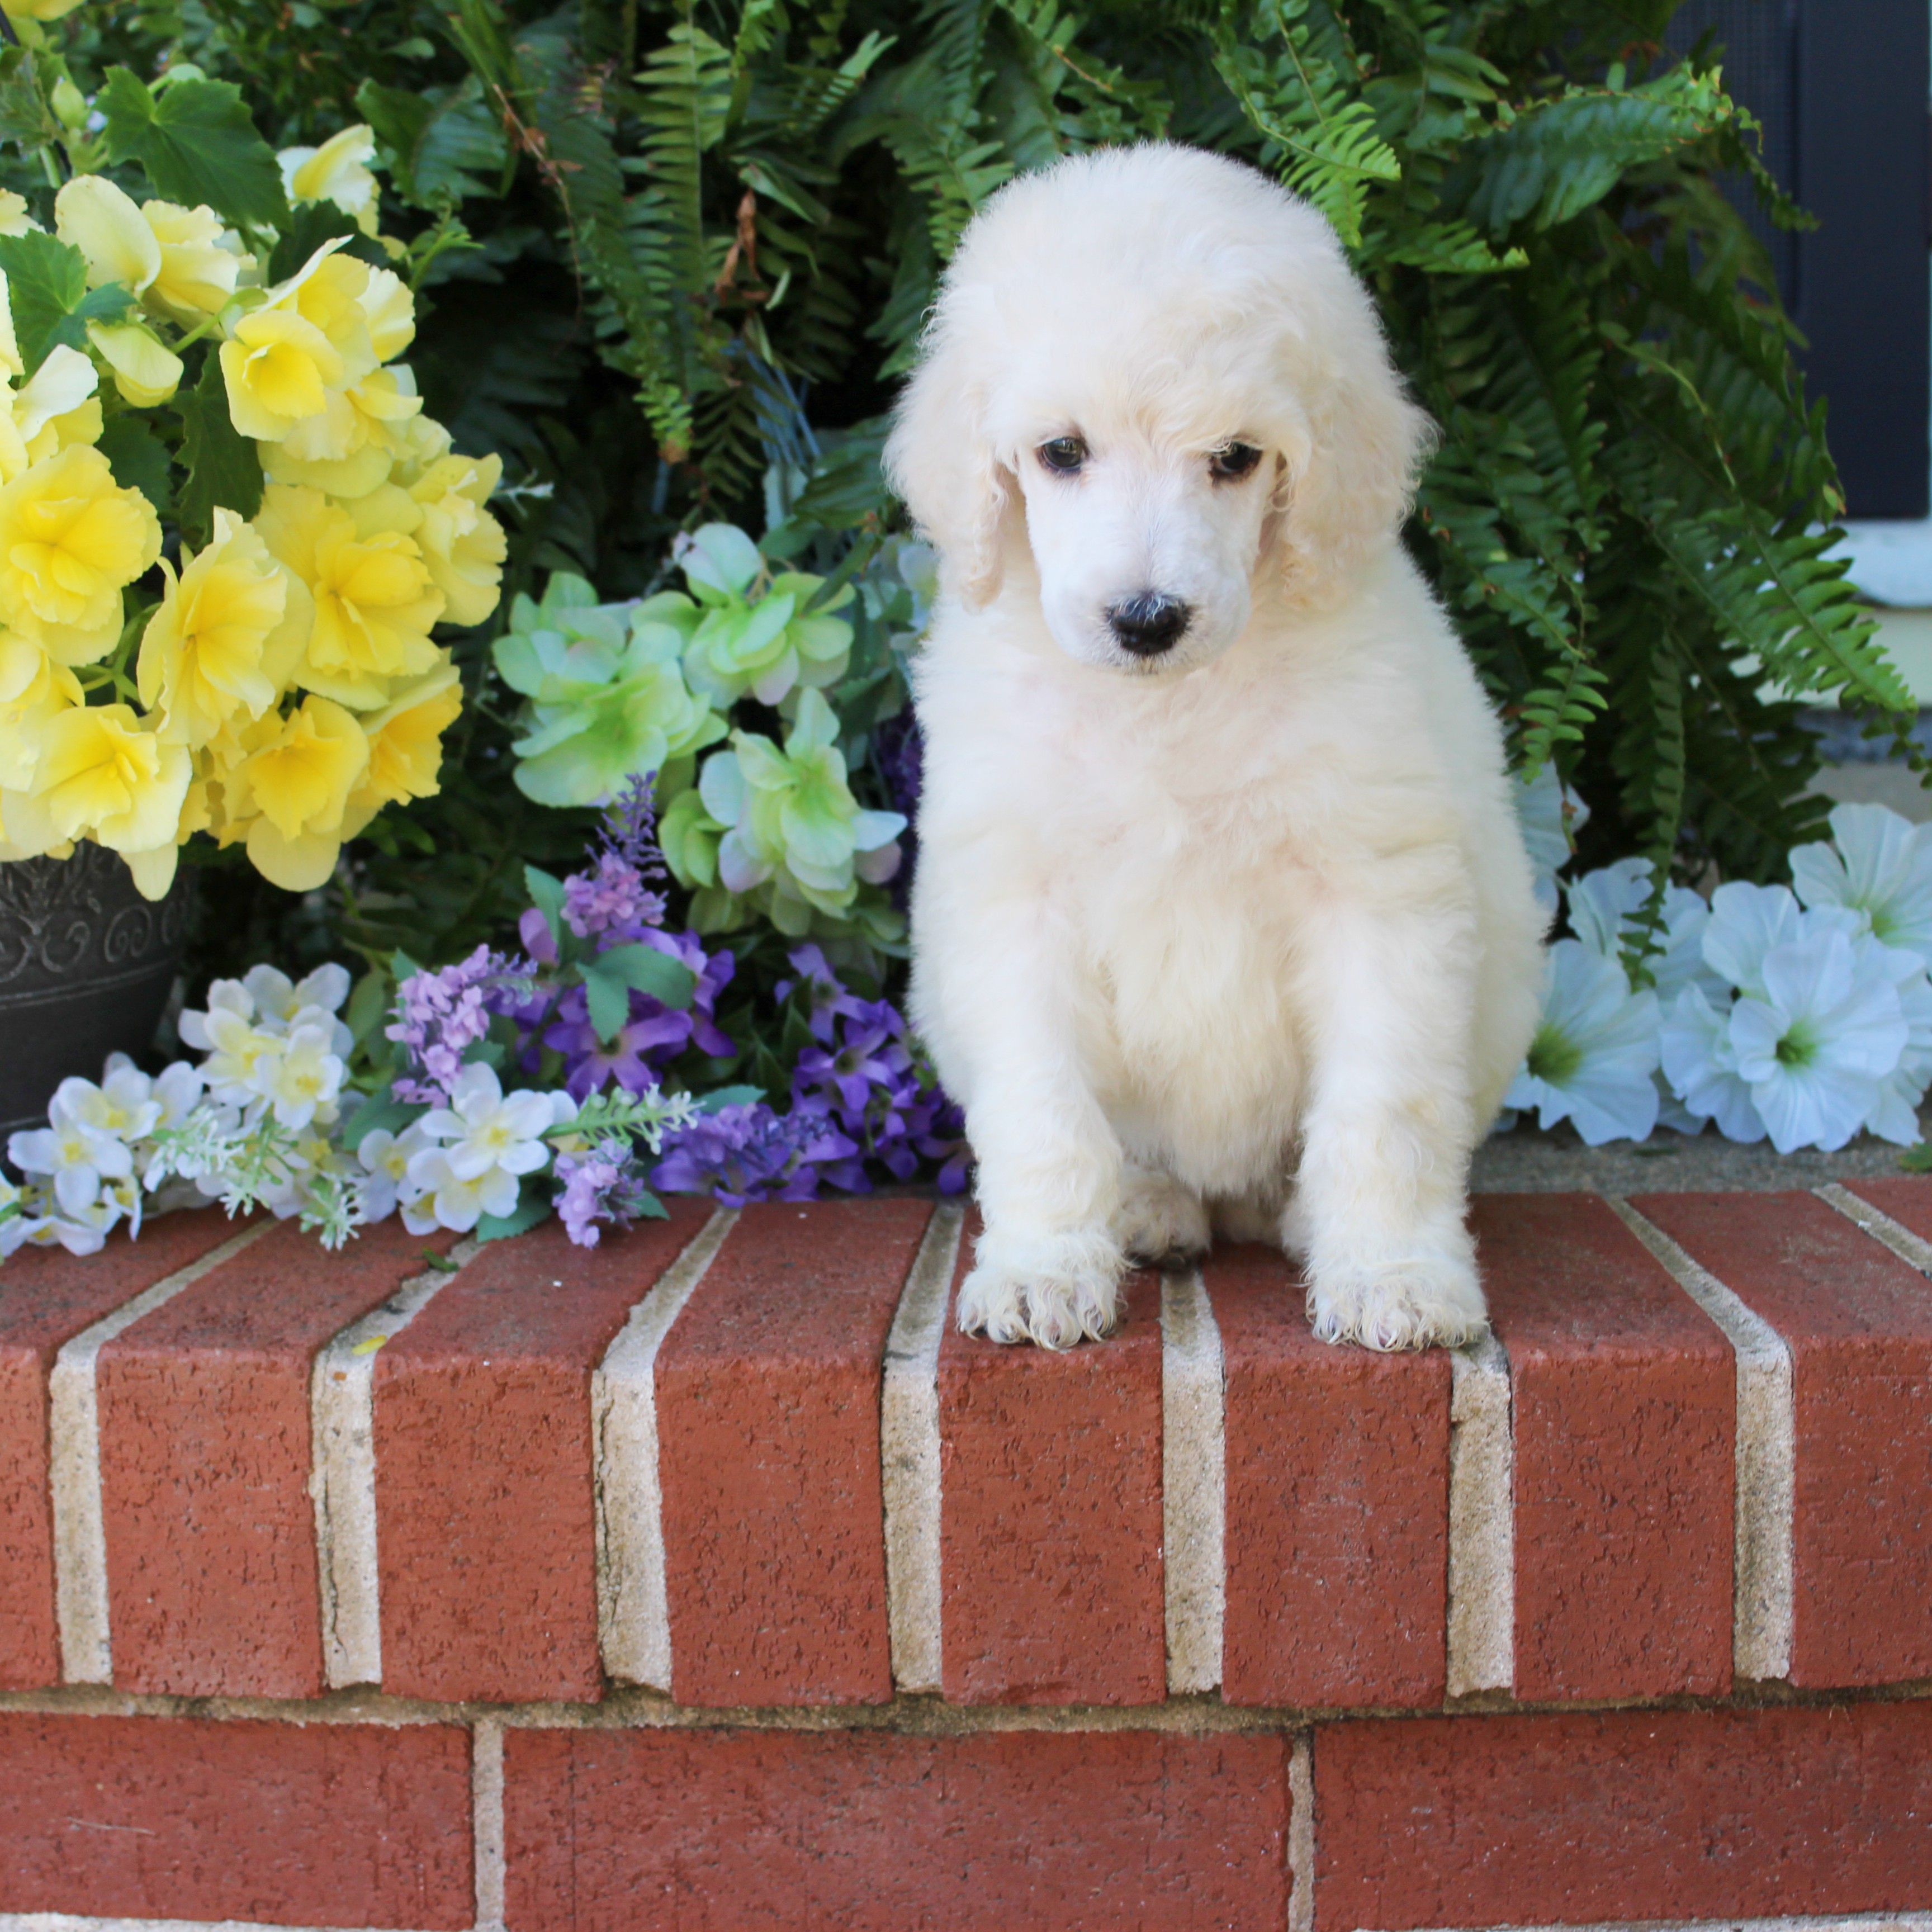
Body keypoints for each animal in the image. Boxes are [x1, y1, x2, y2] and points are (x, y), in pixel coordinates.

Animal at [884, 143, 1537, 1352]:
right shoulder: (1014, 905)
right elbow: (1042, 1111)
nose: (1147, 617)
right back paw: (1143, 1212)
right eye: (1061, 452)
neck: (1166, 707)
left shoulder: (1377, 892)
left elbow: (1384, 1106)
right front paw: (1044, 1269)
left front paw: (1393, 1276)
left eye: (1236, 459)